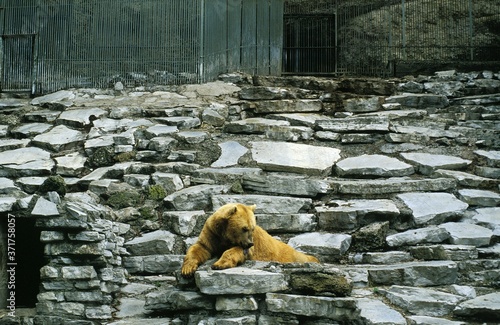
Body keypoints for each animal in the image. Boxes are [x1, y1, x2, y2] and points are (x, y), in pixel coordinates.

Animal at [182, 202, 318, 276]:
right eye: (244, 228)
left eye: (252, 228)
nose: (250, 243)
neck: (224, 235)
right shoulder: (212, 233)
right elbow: (200, 247)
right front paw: (187, 269)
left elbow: (237, 251)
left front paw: (218, 264)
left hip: (292, 256)